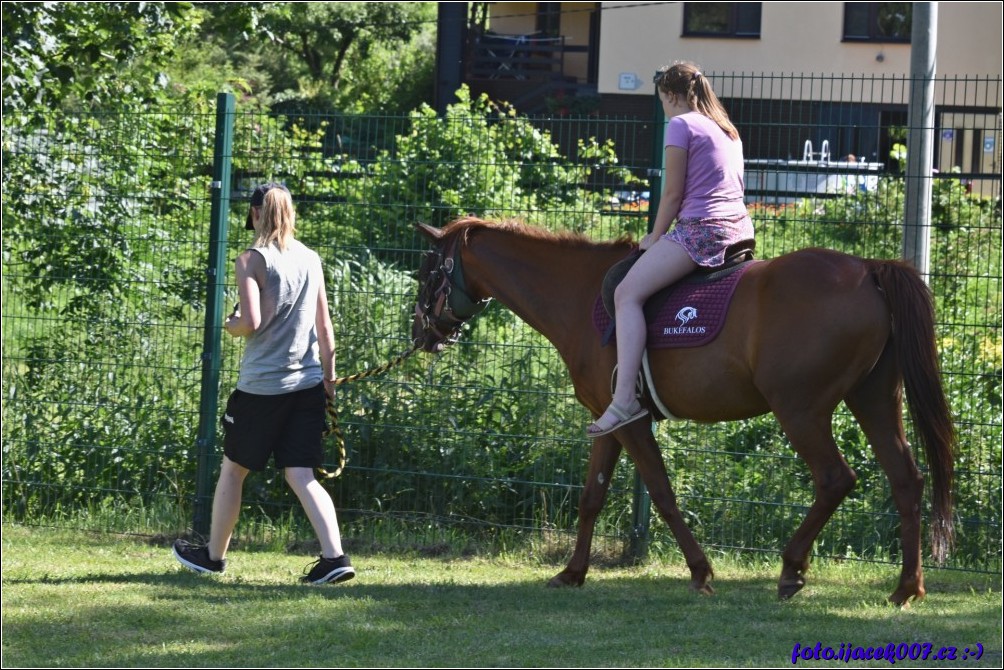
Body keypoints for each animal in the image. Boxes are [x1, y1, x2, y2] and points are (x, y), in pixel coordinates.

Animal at [409, 217, 955, 606]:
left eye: (426, 272)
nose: (420, 334)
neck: (580, 293)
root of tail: (868, 268)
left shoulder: (631, 422)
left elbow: (662, 494)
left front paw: (700, 572)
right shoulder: (609, 422)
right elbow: (591, 497)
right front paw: (572, 572)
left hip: (800, 410)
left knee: (835, 479)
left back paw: (791, 569)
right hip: (874, 400)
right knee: (906, 481)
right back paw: (906, 588)